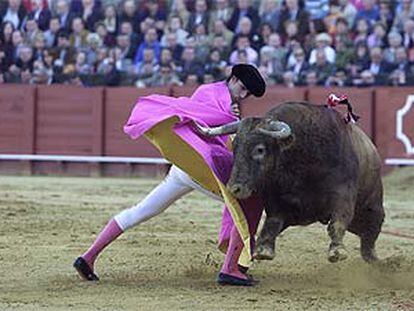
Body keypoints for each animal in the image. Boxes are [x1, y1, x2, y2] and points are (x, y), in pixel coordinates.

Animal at [197, 102, 384, 264]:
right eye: (234, 147)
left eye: (260, 149)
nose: (234, 188)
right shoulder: (279, 205)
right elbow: (271, 224)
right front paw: (263, 250)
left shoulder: (343, 195)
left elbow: (338, 221)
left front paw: (337, 251)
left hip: (372, 208)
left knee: (370, 234)